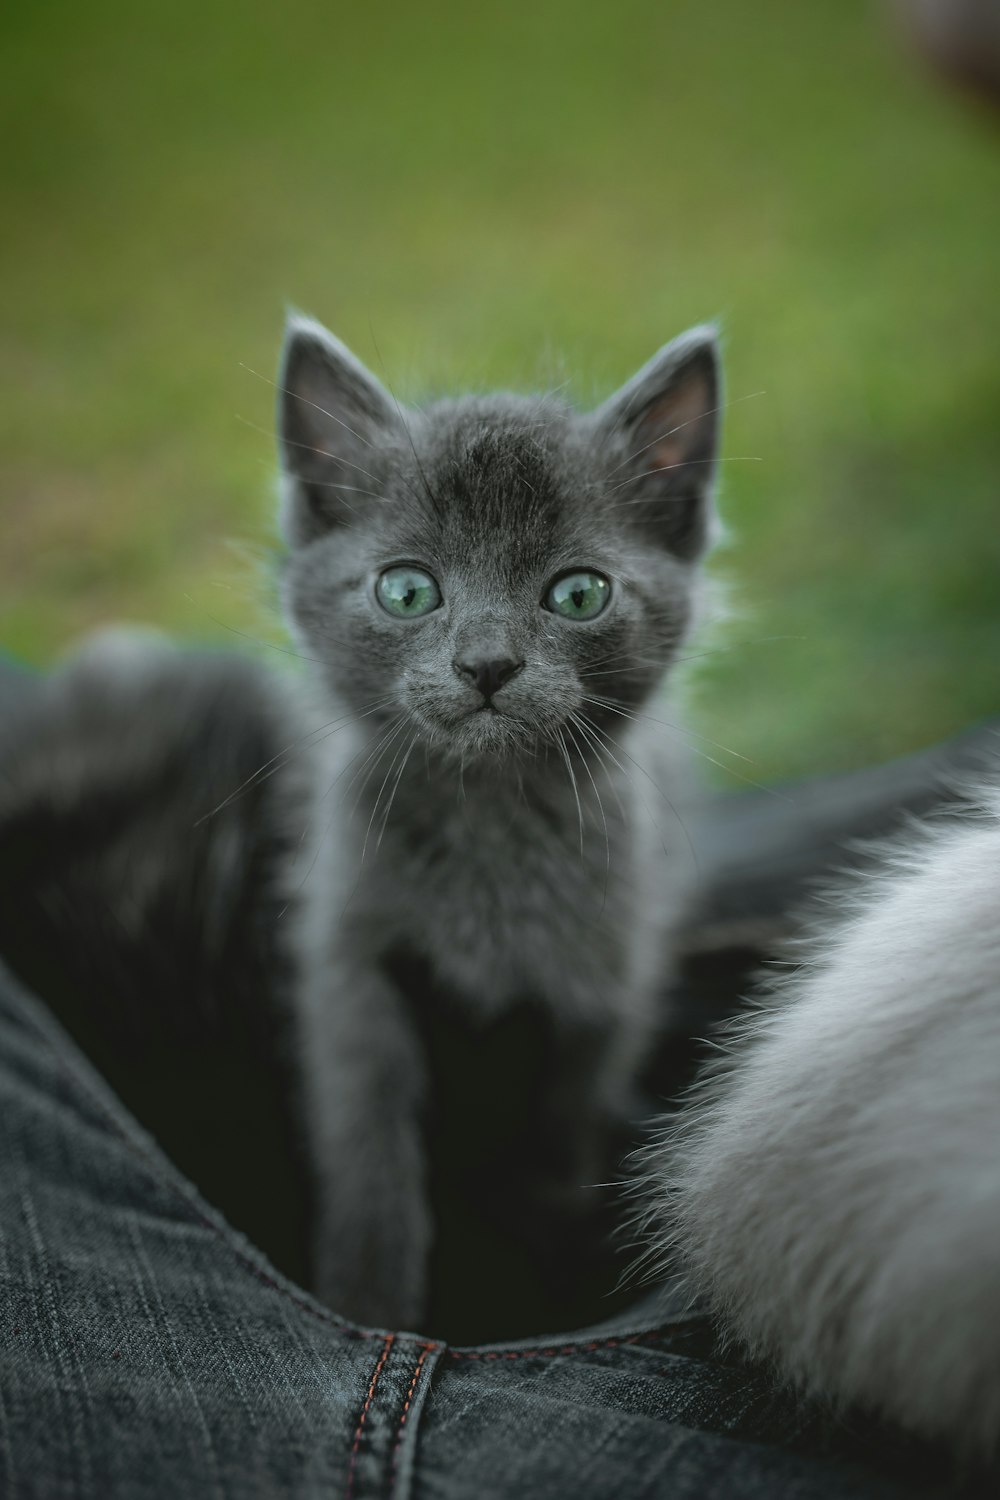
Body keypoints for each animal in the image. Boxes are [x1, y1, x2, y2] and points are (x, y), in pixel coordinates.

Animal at [277, 313, 722, 1326]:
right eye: (406, 590)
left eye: (579, 593)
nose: (486, 664)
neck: (487, 813)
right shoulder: (350, 952)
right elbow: (366, 1132)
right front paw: (369, 1294)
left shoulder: (603, 971)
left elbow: (563, 1121)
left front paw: (536, 1249)